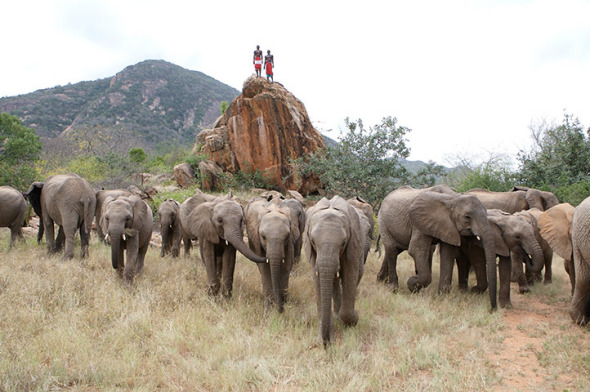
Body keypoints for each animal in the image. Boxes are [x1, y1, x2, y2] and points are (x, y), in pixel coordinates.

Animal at [306, 196, 366, 346]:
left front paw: (353, 319)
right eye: (313, 241)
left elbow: (350, 274)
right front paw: (323, 340)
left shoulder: (353, 244)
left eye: (343, 243)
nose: (326, 344)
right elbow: (319, 282)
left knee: (356, 275)